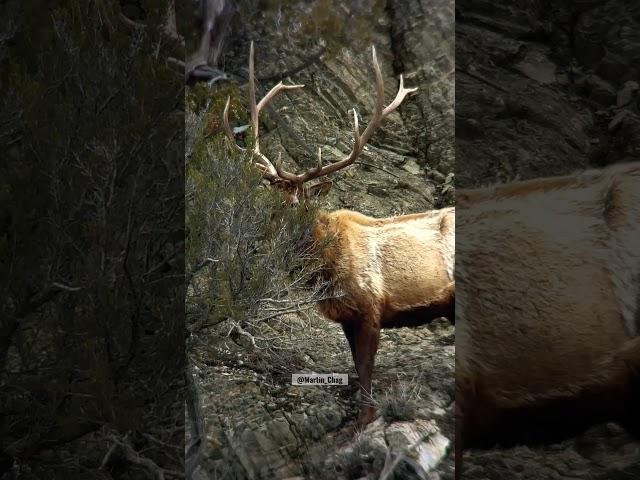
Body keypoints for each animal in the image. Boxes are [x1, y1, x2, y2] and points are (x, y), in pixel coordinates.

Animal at [220, 41, 456, 424]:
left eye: (296, 203)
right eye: (269, 202)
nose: (262, 241)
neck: (326, 272)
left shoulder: (372, 307)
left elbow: (366, 370)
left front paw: (366, 421)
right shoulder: (347, 317)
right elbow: (357, 369)